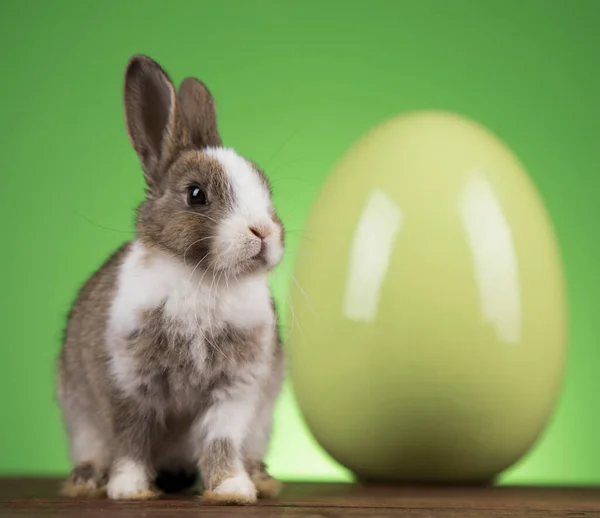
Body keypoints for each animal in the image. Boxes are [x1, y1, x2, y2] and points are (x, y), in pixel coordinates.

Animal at [57, 55, 288, 508]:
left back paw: (260, 478)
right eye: (196, 194)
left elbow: (220, 440)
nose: (263, 232)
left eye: (265, 188)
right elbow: (132, 438)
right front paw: (130, 490)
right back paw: (85, 480)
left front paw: (232, 490)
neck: (204, 280)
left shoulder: (235, 390)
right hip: (80, 418)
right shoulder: (129, 383)